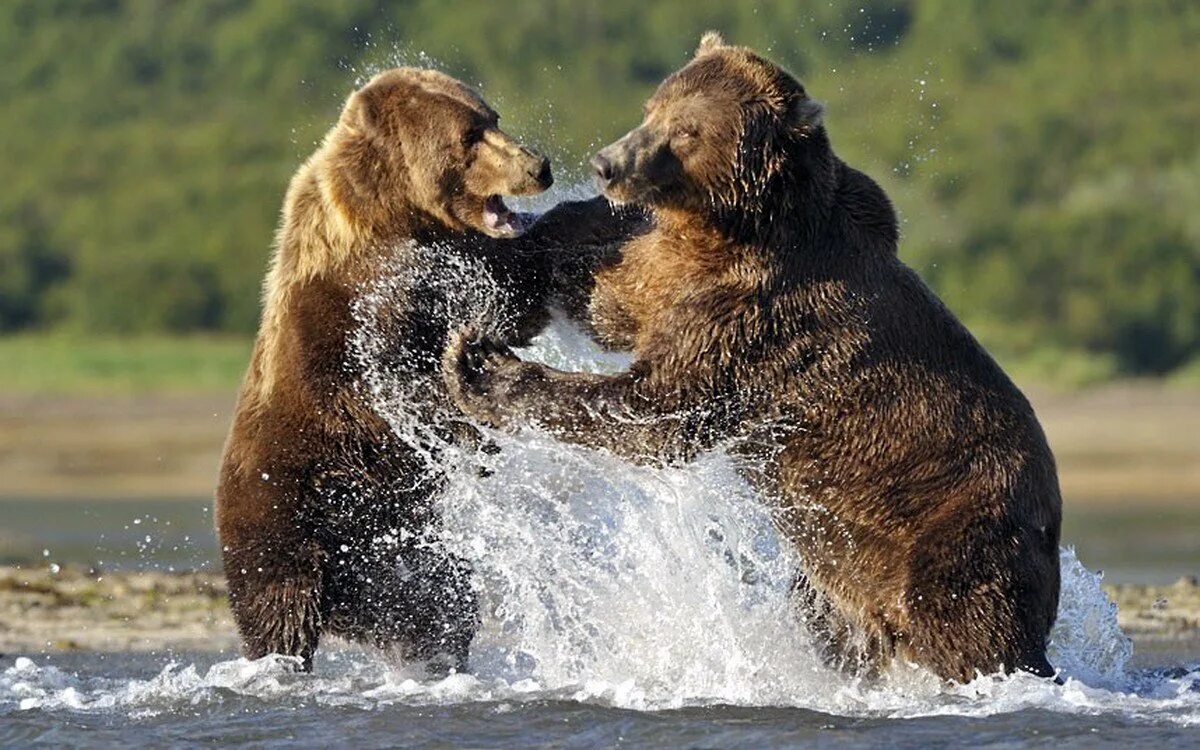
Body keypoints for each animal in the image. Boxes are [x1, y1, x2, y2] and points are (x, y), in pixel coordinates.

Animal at [220, 67, 643, 672]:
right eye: (469, 136)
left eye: (492, 118)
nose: (538, 166)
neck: (397, 217)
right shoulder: (363, 305)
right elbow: (408, 378)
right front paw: (474, 424)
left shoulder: (451, 256)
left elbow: (518, 285)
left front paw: (606, 211)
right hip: (284, 520)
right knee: (279, 616)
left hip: (395, 556)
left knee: (438, 604)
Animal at [446, 33, 1065, 676]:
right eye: (652, 107)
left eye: (687, 130)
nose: (607, 163)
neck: (736, 226)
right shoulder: (682, 275)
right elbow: (613, 298)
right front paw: (542, 237)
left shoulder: (761, 314)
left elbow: (655, 409)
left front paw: (480, 365)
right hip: (844, 574)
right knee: (828, 621)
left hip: (955, 535)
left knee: (966, 628)